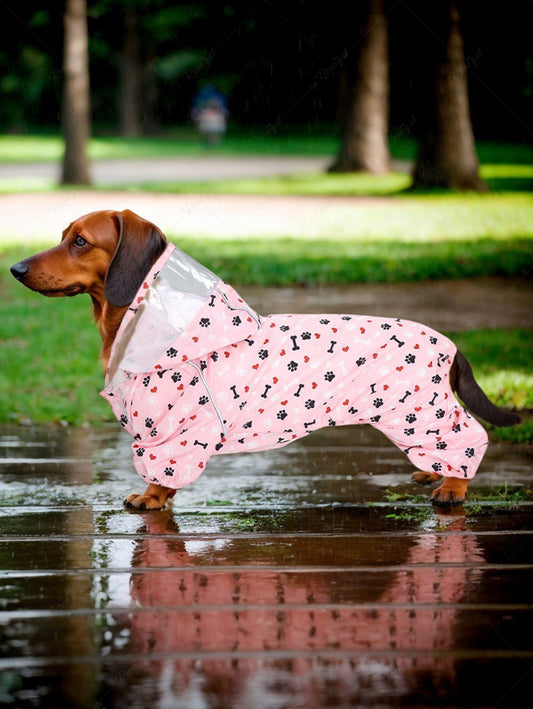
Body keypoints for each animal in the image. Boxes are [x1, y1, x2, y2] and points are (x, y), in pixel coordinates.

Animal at [11, 209, 520, 508]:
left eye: (80, 241)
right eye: (63, 235)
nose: (15, 268)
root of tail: (449, 344)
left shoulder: (177, 431)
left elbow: (164, 471)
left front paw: (152, 496)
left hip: (419, 410)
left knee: (470, 437)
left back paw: (451, 487)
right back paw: (430, 472)